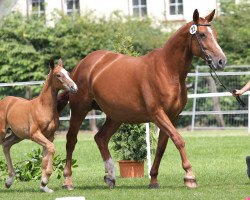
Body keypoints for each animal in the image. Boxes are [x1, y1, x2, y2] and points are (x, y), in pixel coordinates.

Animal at [0, 58, 77, 193]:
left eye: (68, 73)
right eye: (58, 75)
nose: (74, 87)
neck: (43, 107)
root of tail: (4, 101)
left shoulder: (49, 136)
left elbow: (44, 159)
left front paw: (44, 185)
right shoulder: (35, 134)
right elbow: (51, 148)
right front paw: (45, 180)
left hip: (17, 136)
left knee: (5, 145)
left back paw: (9, 181)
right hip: (2, 131)